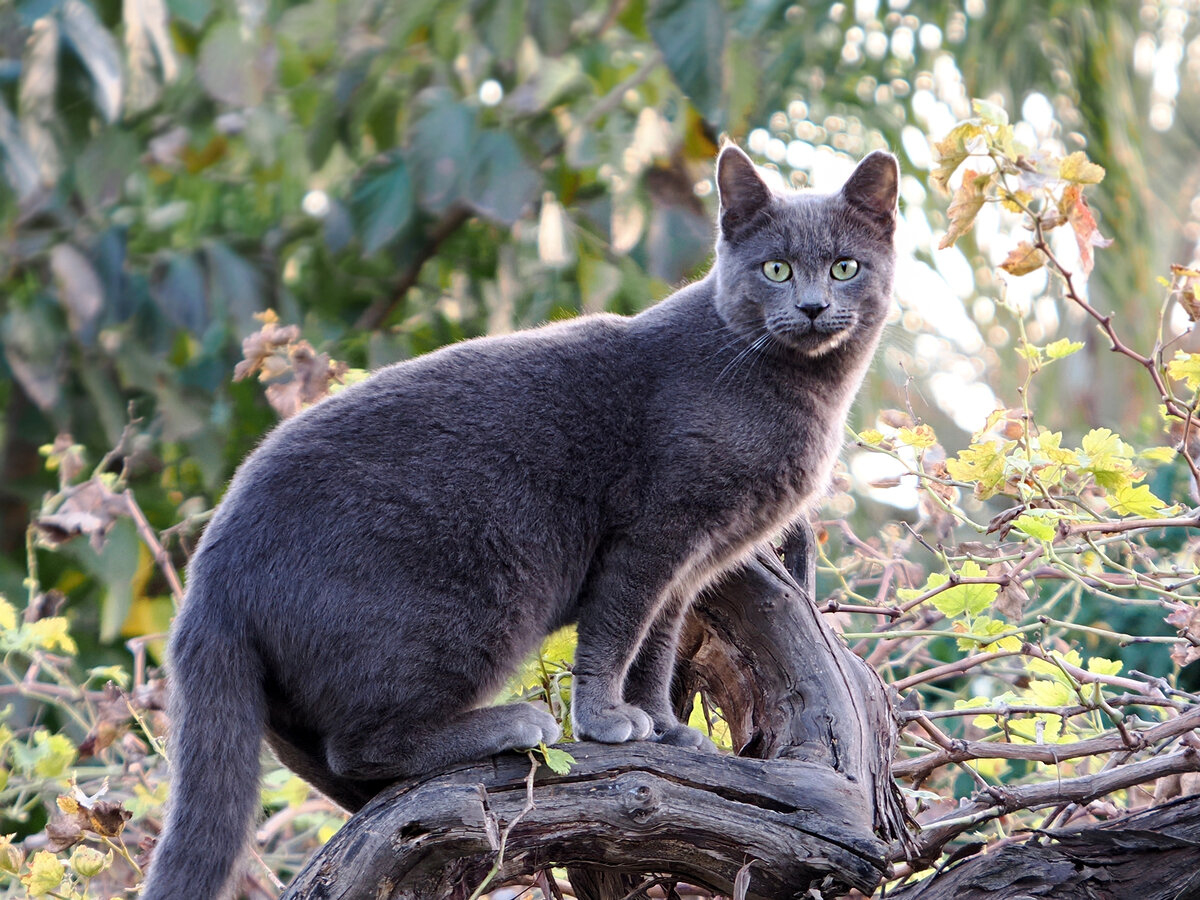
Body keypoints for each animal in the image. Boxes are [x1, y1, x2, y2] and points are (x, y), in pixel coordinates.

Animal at [140, 144, 897, 897]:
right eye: (775, 268)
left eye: (844, 266)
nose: (812, 305)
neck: (796, 390)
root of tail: (211, 572)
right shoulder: (653, 535)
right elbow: (618, 630)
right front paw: (605, 721)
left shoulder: (690, 565)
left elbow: (655, 645)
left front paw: (663, 726)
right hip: (469, 609)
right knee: (360, 744)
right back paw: (515, 721)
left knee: (337, 763)